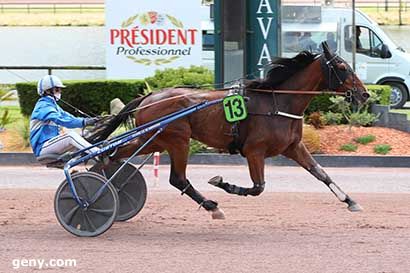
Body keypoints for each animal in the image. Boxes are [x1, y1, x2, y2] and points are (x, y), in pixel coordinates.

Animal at [86, 43, 368, 220]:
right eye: (342, 68)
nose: (365, 94)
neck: (278, 102)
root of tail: (150, 96)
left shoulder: (293, 147)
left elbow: (321, 173)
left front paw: (350, 201)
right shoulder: (254, 151)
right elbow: (258, 187)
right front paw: (222, 183)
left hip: (152, 139)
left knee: (112, 155)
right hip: (178, 140)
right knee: (178, 179)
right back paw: (212, 206)